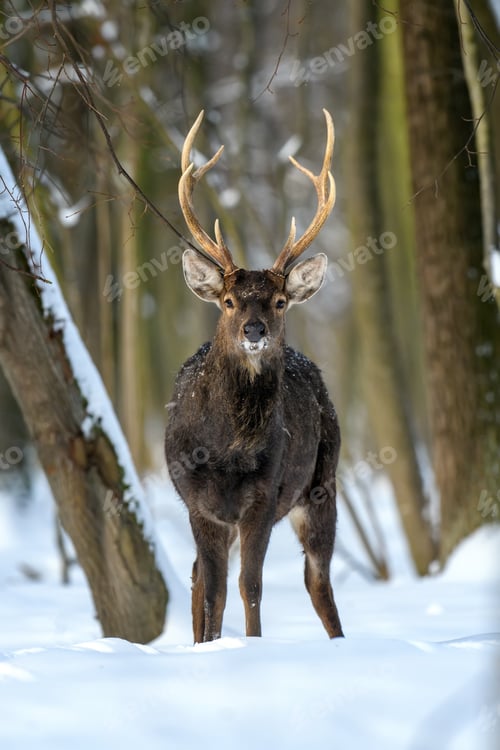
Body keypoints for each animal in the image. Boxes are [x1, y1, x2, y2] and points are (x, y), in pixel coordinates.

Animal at [165, 109, 343, 643]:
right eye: (228, 300)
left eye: (280, 301)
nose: (254, 328)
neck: (228, 451)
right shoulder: (198, 503)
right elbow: (214, 589)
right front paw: (211, 646)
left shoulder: (266, 494)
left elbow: (251, 585)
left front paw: (251, 645)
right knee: (198, 577)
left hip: (322, 483)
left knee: (318, 579)